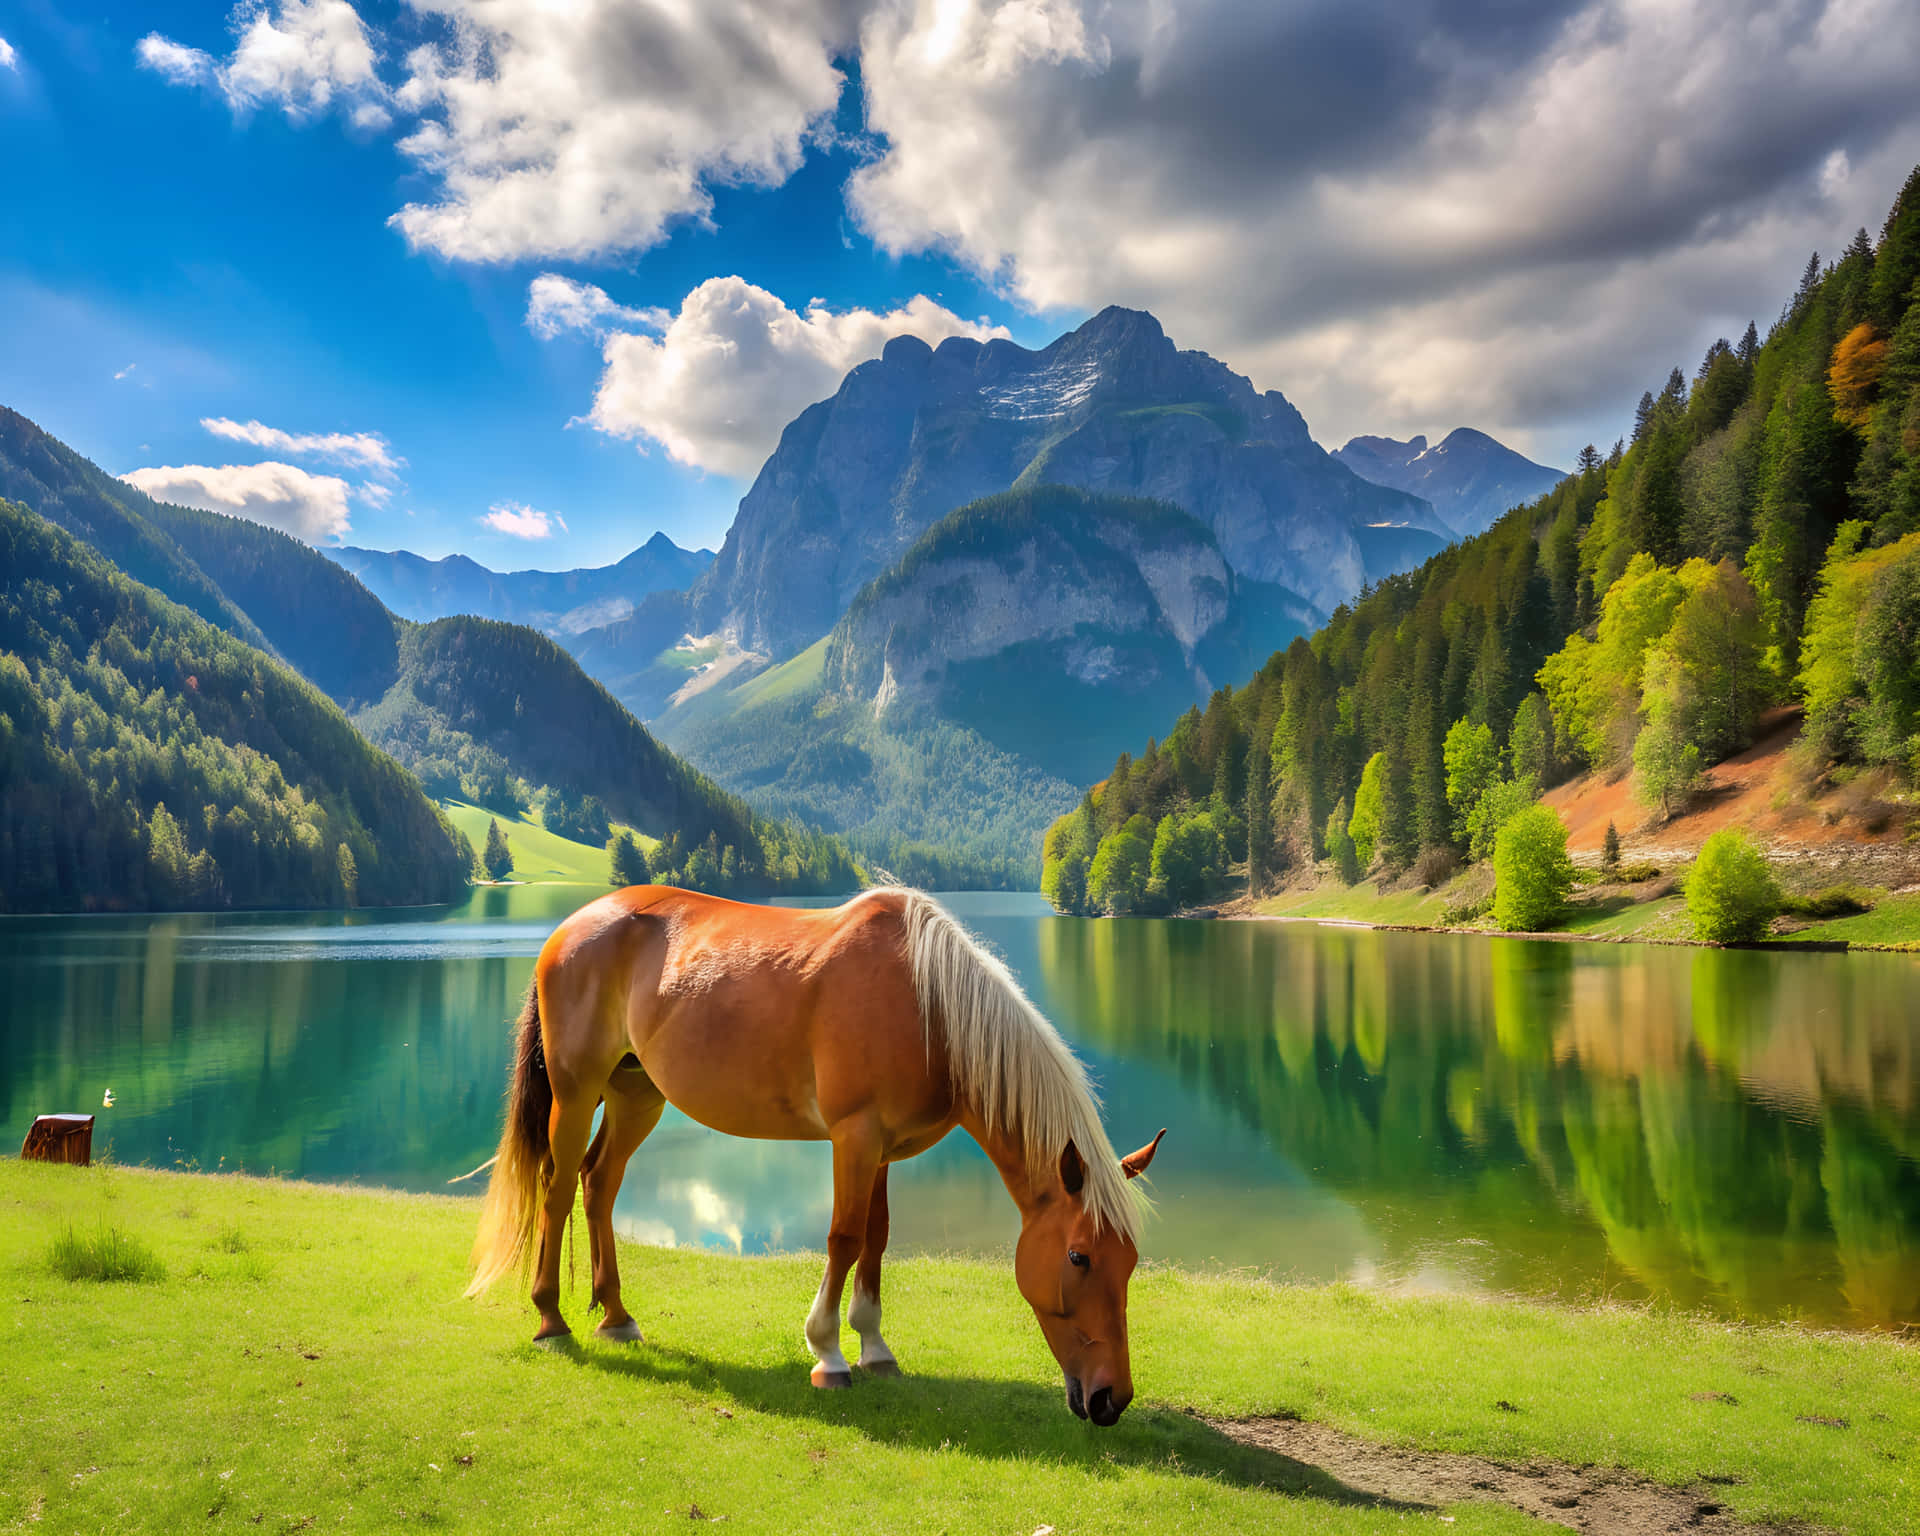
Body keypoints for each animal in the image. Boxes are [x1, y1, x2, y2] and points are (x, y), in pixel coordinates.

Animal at [466, 884, 1164, 1426]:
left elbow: (877, 1239)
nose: (1111, 1399)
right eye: (1078, 1257)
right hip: (576, 1089)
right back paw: (551, 1320)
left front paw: (876, 1349)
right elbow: (844, 1238)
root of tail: (570, 926)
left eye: (1129, 1261)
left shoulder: (884, 1150)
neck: (928, 1008)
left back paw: (615, 1315)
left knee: (600, 1183)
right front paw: (827, 1354)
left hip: (637, 1094)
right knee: (559, 1187)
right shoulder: (854, 1137)